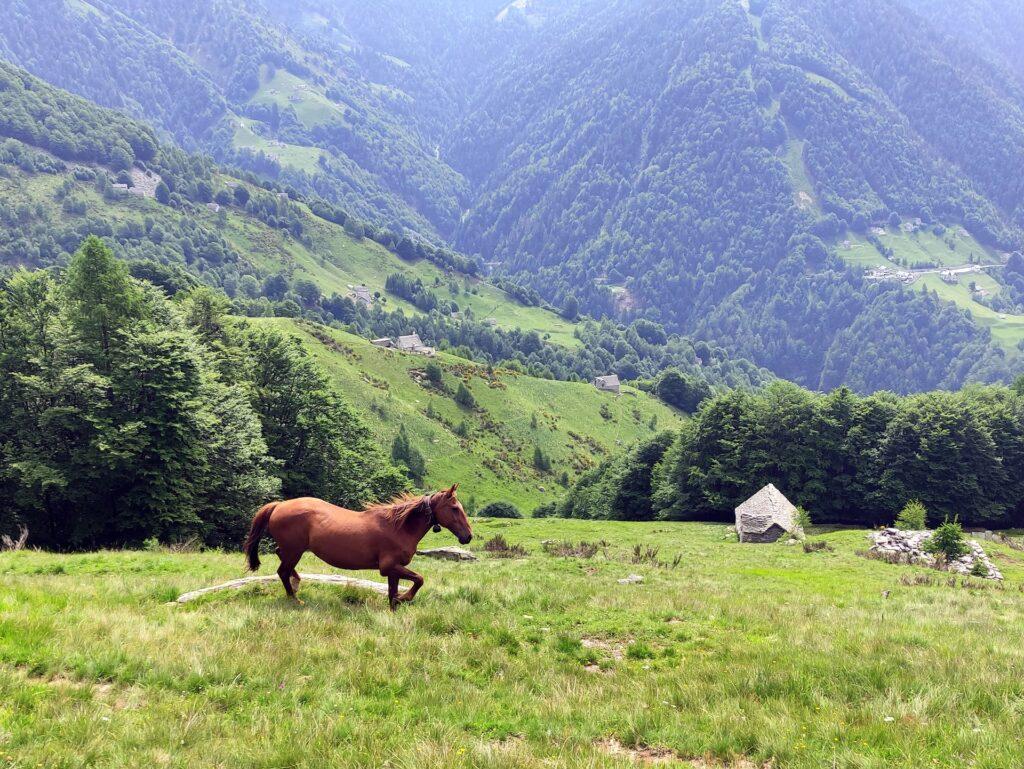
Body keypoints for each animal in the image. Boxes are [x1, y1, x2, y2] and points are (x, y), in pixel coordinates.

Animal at [243, 487, 471, 606]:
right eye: (454, 508)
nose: (468, 536)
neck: (397, 526)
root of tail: (279, 505)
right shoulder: (388, 567)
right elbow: (419, 579)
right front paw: (405, 598)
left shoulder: (393, 570)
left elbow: (392, 593)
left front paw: (396, 606)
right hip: (295, 551)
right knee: (282, 571)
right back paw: (295, 600)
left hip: (292, 550)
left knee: (281, 558)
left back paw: (297, 582)